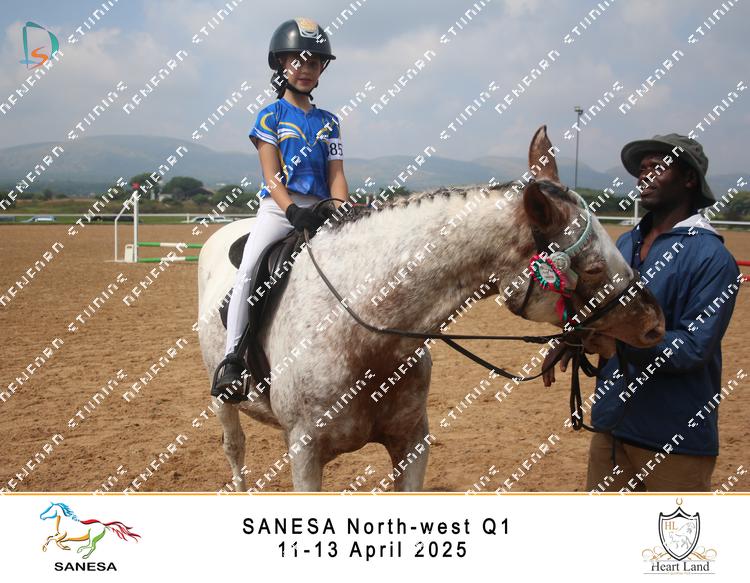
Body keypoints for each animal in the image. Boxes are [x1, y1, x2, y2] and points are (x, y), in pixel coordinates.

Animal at [197, 126, 665, 492]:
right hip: (223, 399)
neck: (361, 333)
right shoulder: (305, 455)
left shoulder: (411, 444)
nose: (654, 325)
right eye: (593, 267)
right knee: (234, 446)